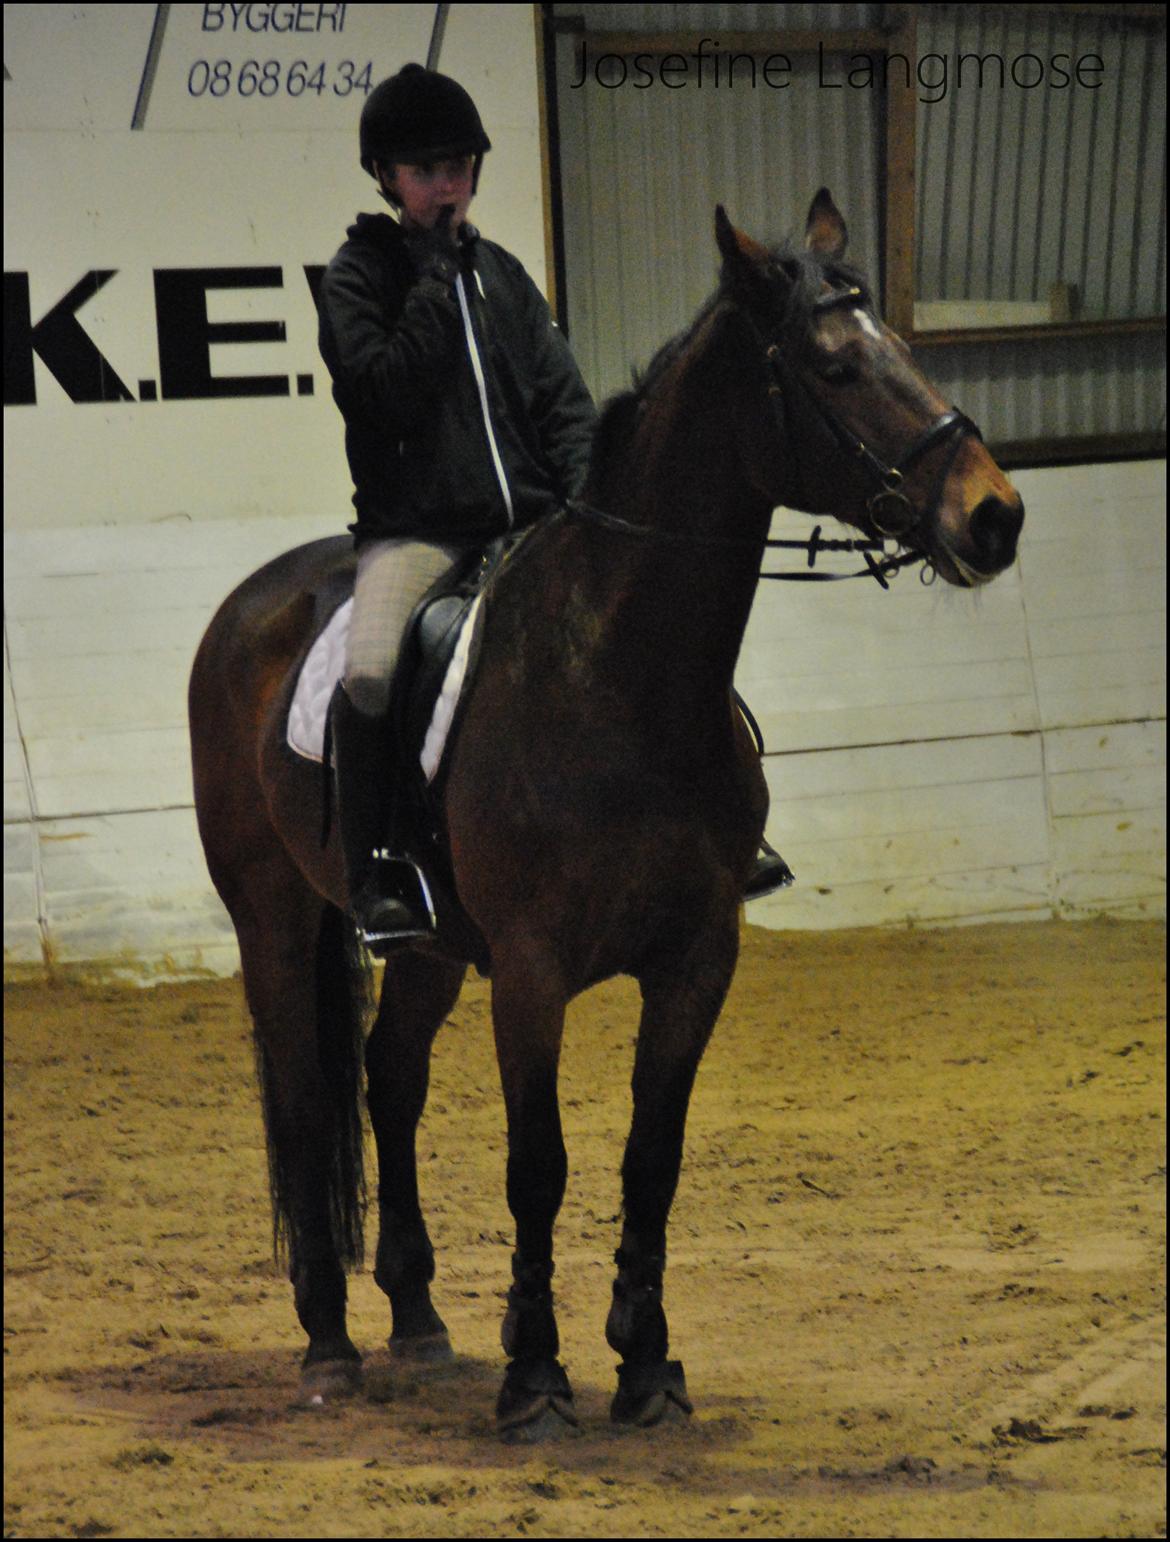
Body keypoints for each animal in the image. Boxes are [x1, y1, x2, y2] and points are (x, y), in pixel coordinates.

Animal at [184, 189, 1023, 1430]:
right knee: (301, 1099)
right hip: (276, 922)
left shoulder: (695, 961)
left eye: (907, 351)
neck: (623, 680)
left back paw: (418, 1320)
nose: (995, 517)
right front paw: (536, 1373)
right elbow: (539, 1165)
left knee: (389, 1078)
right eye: (833, 366)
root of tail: (249, 603)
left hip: (429, 946)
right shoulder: (532, 971)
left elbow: (650, 1158)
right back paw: (330, 1342)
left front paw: (646, 1362)